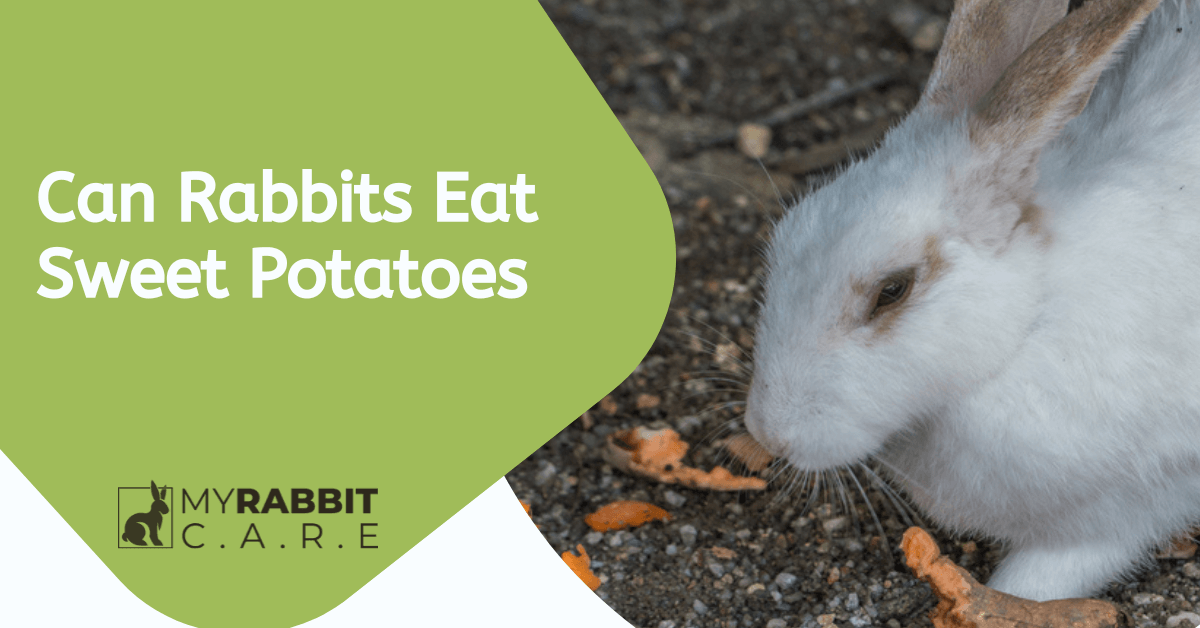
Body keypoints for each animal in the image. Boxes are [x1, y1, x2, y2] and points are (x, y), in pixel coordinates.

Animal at [743, 0, 1200, 602]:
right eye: (787, 235)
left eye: (893, 290)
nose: (766, 432)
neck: (1029, 323)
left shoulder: (1129, 510)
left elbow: (1035, 583)